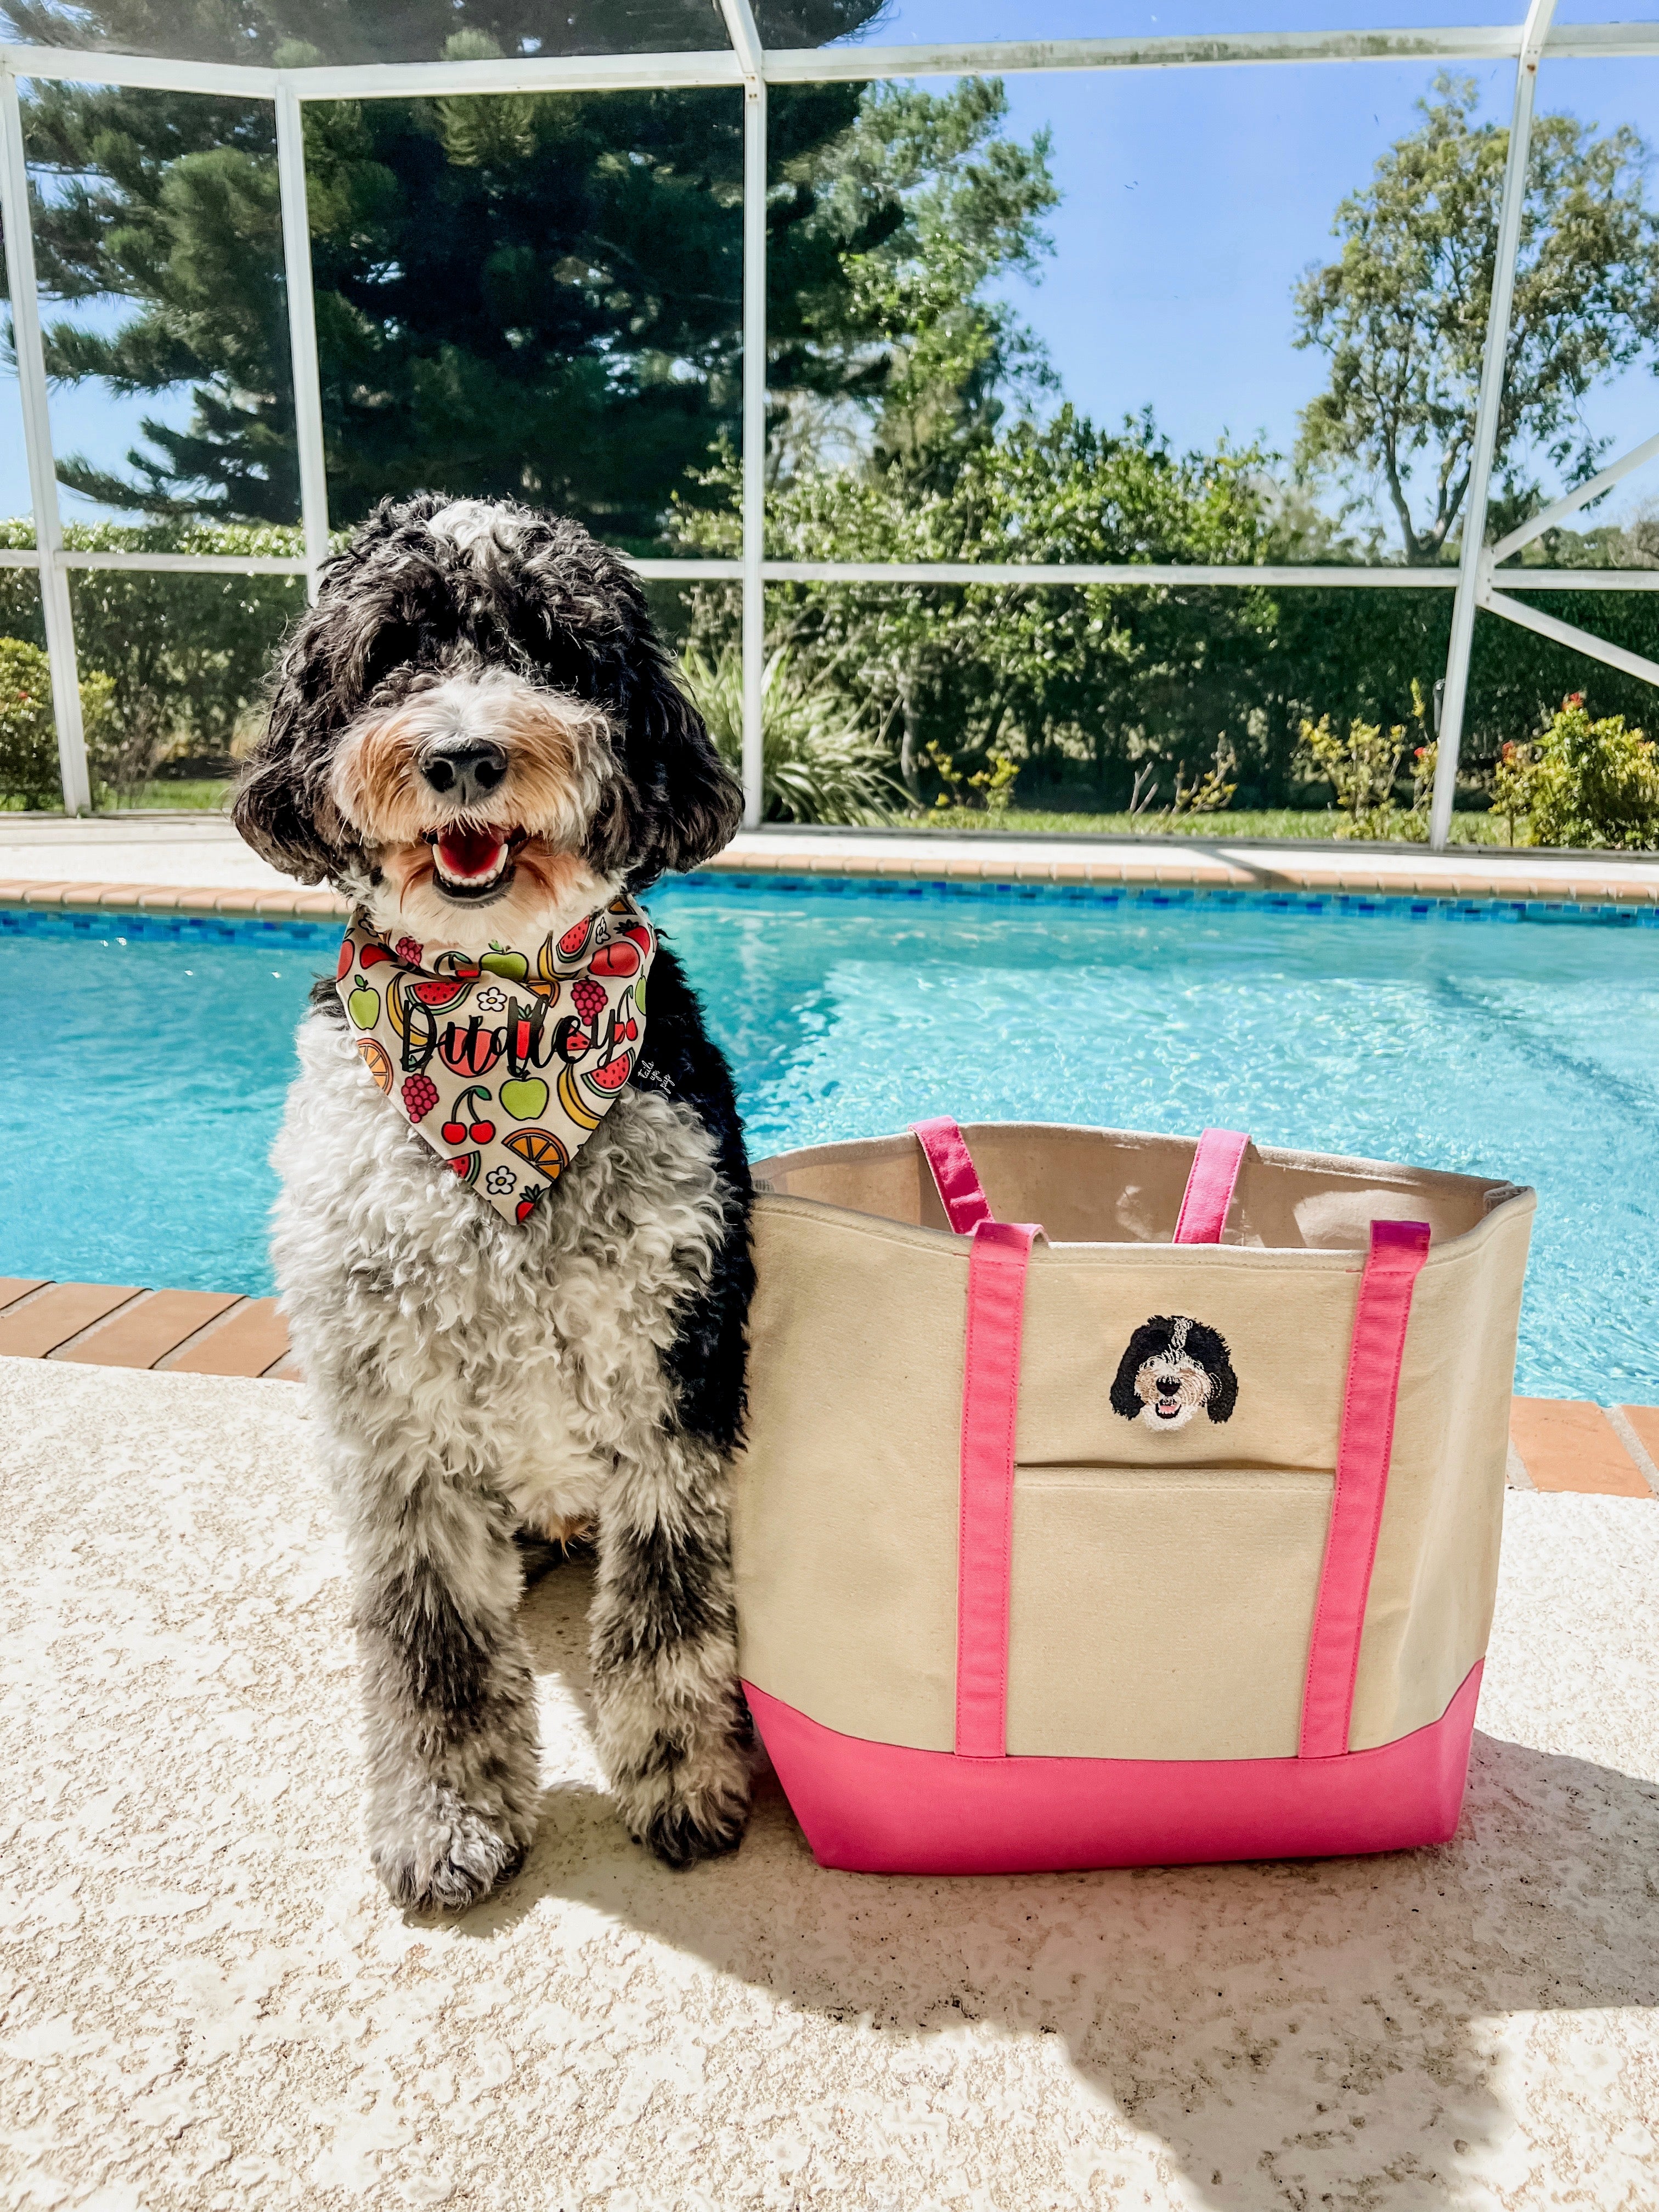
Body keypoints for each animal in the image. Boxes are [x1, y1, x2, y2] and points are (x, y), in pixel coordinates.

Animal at [234, 492, 755, 1909]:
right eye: (392, 652)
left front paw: (683, 1781)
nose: (463, 755)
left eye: (557, 650)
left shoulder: (673, 1369)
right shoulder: (390, 1413)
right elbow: (428, 1638)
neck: (494, 1019)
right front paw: (447, 1817)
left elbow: (672, 1612)